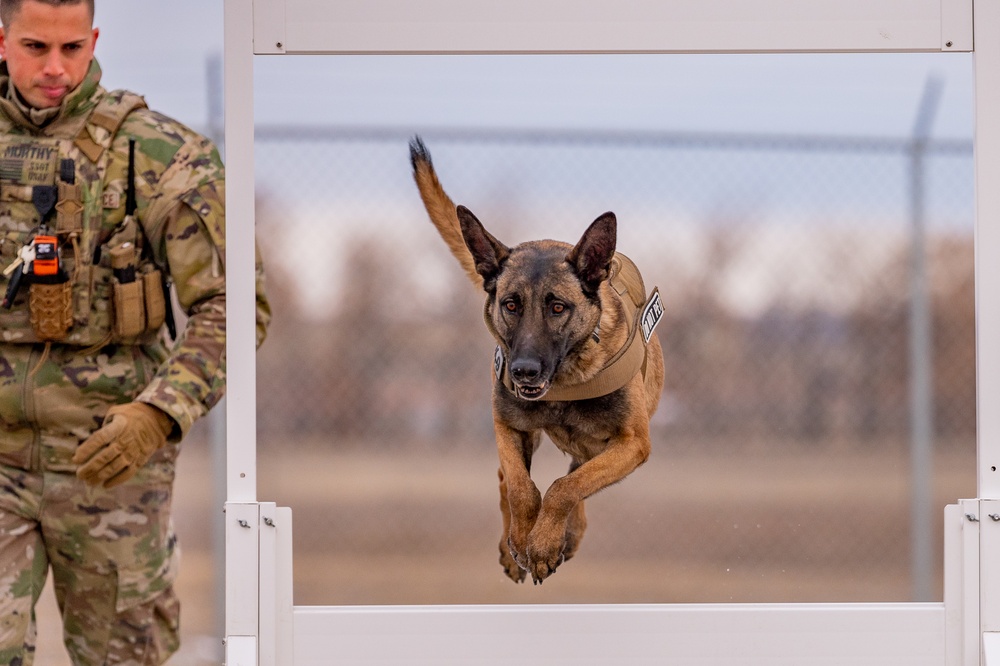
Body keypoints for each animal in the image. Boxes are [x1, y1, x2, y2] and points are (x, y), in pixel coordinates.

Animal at [406, 136, 664, 580]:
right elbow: (522, 488)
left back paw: (566, 534)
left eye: (557, 307)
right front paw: (526, 542)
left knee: (575, 477)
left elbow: (565, 488)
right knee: (506, 480)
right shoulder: (507, 425)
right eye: (511, 305)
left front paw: (543, 543)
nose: (523, 371)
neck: (567, 381)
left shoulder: (632, 443)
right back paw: (517, 544)